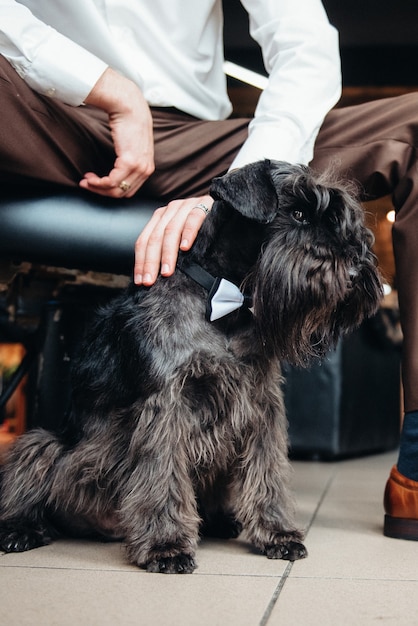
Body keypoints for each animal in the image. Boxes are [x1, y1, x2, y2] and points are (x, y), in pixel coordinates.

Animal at [0, 160, 382, 572]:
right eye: (297, 214)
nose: (357, 273)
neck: (224, 303)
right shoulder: (166, 406)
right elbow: (163, 476)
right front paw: (166, 546)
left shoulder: (261, 406)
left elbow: (268, 472)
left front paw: (277, 533)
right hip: (46, 444)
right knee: (25, 482)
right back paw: (21, 529)